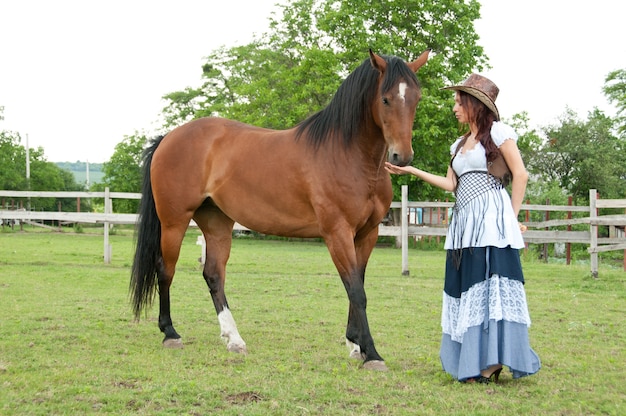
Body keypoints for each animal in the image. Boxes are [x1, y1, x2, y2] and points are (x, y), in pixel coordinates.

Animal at [130, 48, 428, 370]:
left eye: (416, 98)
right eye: (385, 99)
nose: (401, 156)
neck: (346, 155)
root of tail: (168, 138)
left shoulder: (367, 234)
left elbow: (356, 286)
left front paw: (355, 343)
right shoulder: (337, 233)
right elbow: (356, 292)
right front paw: (371, 353)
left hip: (216, 221)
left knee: (213, 274)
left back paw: (234, 339)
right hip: (174, 221)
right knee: (165, 269)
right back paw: (170, 333)